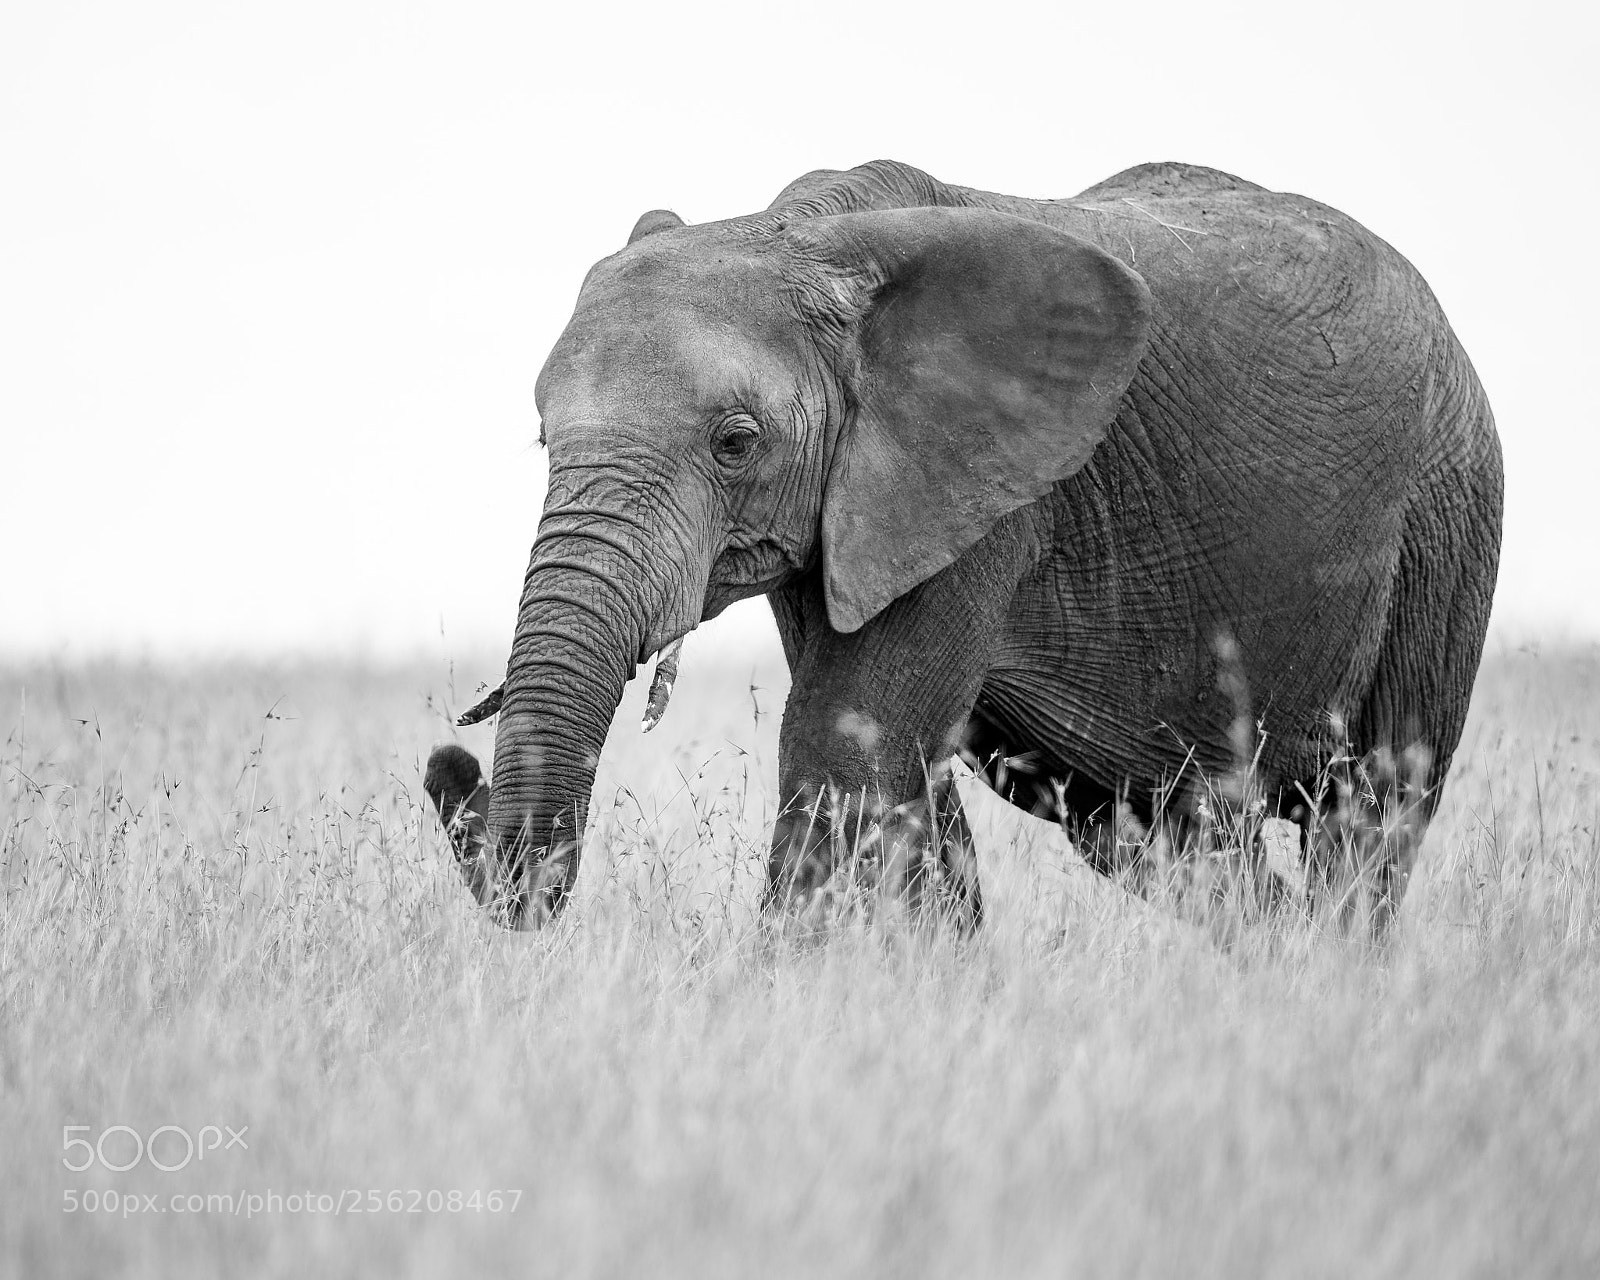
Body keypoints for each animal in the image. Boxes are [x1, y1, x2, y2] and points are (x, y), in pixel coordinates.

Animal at [423, 158, 1502, 934]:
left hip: (1447, 514)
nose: (450, 762)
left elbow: (846, 743)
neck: (809, 236)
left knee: (1374, 808)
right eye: (543, 439)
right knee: (1162, 833)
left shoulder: (986, 488)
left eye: (735, 441)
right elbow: (902, 772)